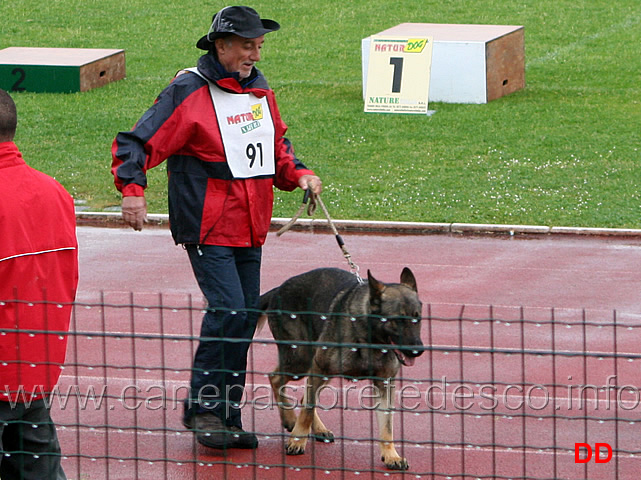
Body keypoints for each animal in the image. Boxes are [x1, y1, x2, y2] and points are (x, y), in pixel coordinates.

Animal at [258, 268, 422, 470]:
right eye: (397, 320)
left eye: (417, 318)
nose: (418, 350)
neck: (368, 338)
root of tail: (278, 289)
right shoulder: (319, 368)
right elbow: (307, 411)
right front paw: (297, 440)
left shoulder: (384, 385)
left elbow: (387, 426)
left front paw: (391, 456)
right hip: (301, 361)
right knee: (275, 378)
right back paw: (289, 418)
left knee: (303, 396)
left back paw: (317, 428)